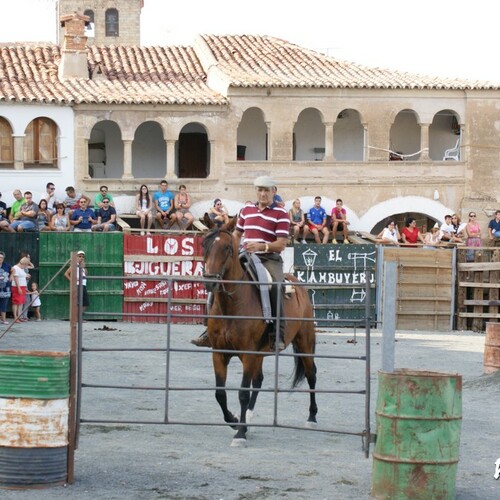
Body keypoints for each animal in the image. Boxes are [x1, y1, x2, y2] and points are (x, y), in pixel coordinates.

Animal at [202, 223, 316, 446]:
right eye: (205, 245)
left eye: (227, 248)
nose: (210, 281)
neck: (233, 304)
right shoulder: (219, 353)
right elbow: (220, 393)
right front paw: (235, 421)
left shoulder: (248, 353)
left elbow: (243, 394)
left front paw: (240, 433)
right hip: (260, 354)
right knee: (259, 380)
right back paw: (249, 418)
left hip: (305, 344)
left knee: (311, 374)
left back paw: (312, 418)